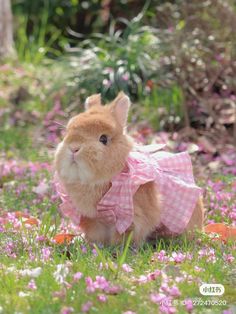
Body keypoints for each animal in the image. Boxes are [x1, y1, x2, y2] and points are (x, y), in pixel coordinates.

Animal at [54, 92, 205, 247]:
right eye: (68, 132)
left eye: (103, 139)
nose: (74, 148)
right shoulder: (94, 219)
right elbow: (96, 234)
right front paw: (95, 245)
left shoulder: (130, 218)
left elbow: (124, 235)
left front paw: (117, 248)